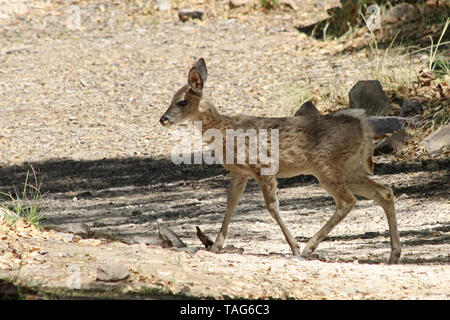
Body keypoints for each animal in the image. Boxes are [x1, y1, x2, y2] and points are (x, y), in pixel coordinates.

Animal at [158, 58, 400, 264]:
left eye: (182, 101)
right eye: (170, 99)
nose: (163, 119)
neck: (225, 130)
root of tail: (364, 128)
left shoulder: (262, 167)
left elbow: (272, 207)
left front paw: (294, 247)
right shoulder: (239, 172)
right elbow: (230, 204)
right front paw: (216, 246)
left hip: (326, 166)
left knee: (347, 201)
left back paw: (308, 247)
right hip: (350, 169)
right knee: (384, 191)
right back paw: (393, 255)